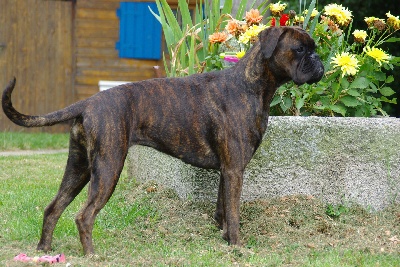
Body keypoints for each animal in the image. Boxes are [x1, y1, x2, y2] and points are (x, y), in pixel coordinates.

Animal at [1, 26, 324, 255]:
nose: (318, 60)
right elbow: (234, 214)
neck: (250, 84)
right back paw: (91, 255)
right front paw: (238, 246)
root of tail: (88, 102)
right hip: (108, 168)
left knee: (53, 208)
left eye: (314, 49)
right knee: (84, 215)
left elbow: (222, 209)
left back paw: (44, 251)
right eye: (300, 49)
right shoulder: (234, 171)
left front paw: (223, 239)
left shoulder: (226, 171)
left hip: (78, 169)